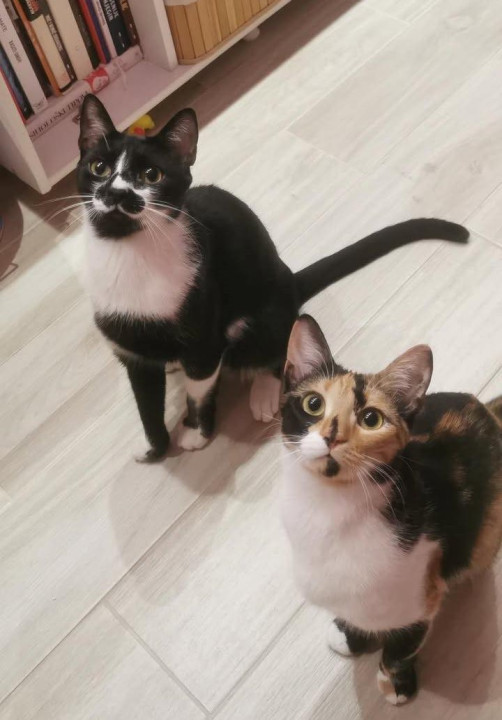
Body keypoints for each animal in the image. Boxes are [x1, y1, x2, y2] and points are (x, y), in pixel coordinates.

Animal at [77, 93, 469, 461]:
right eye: (98, 167)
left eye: (151, 176)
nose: (115, 193)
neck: (129, 253)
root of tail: (289, 278)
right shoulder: (128, 346)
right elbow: (145, 400)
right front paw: (153, 447)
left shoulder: (205, 341)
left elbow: (200, 390)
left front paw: (195, 432)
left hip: (262, 313)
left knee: (280, 347)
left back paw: (263, 393)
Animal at [280, 314, 502, 705]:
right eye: (312, 403)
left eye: (371, 418)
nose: (332, 436)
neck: (327, 508)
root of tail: (488, 411)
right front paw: (350, 636)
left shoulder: (422, 594)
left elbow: (401, 646)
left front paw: (395, 683)